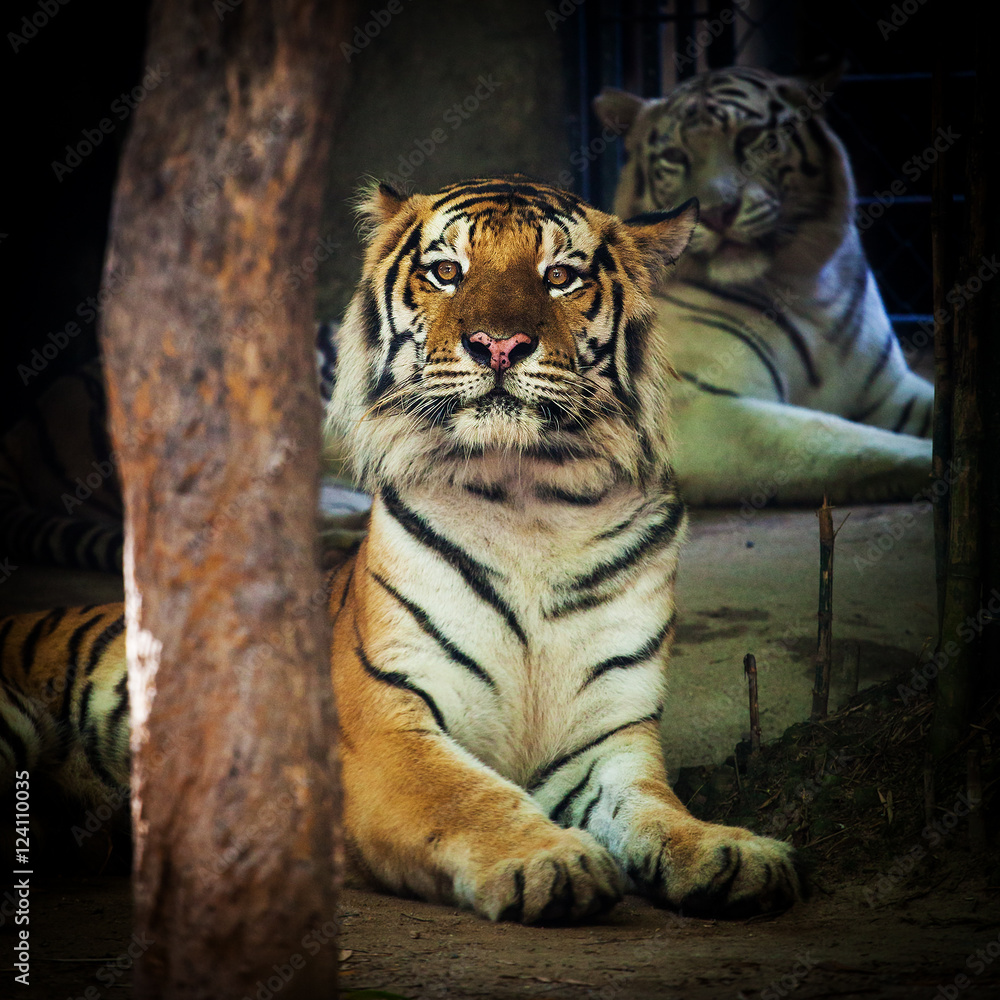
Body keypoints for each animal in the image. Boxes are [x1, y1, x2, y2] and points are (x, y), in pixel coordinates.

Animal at [1, 177, 803, 923]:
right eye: (447, 271)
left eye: (560, 276)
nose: (499, 346)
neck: (532, 503)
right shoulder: (387, 728)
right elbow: (470, 797)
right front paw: (550, 860)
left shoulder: (609, 740)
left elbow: (658, 812)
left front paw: (731, 852)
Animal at [594, 66, 934, 505]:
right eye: (675, 157)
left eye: (750, 138)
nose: (717, 212)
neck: (803, 286)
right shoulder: (699, 409)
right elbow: (838, 436)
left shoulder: (888, 392)